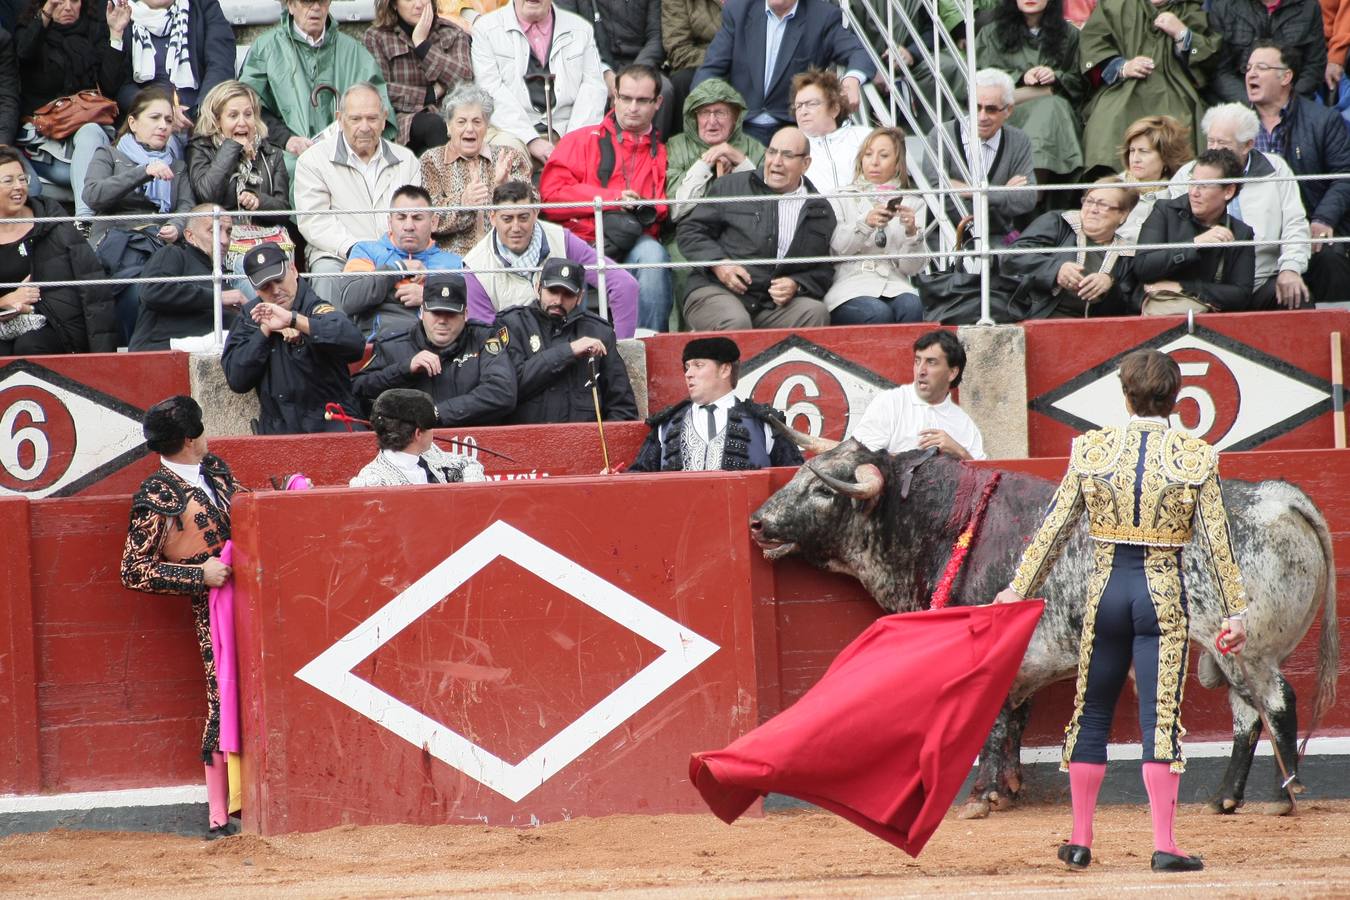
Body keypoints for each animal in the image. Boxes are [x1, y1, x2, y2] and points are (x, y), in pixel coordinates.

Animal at [750, 439, 1339, 820]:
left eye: (824, 492)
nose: (757, 521)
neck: (945, 524)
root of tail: (1278, 496)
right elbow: (1014, 721)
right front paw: (1008, 788)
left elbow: (991, 726)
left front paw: (980, 797)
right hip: (1229, 653)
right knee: (1246, 716)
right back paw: (1227, 798)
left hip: (1248, 648)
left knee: (1276, 702)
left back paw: (1280, 797)